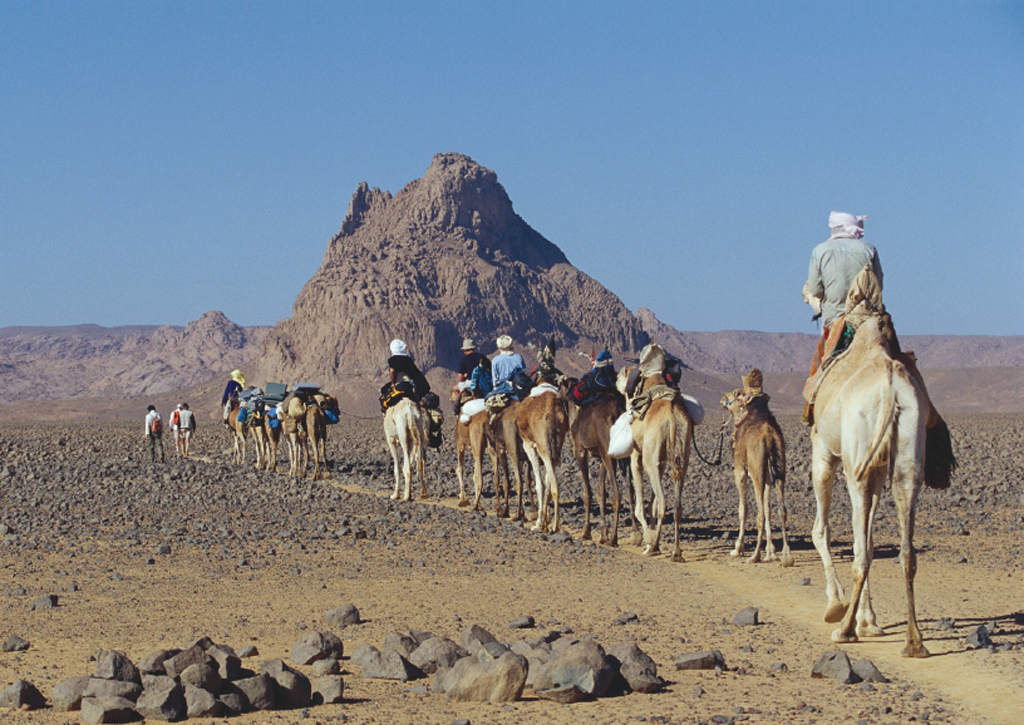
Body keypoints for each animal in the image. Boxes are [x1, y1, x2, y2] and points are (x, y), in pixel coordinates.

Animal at [569, 393, 622, 544]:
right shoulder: (600, 456)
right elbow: (601, 493)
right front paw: (603, 534)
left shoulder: (580, 450)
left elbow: (587, 493)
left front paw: (586, 532)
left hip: (608, 451)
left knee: (617, 493)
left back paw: (614, 539)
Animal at [618, 346, 692, 561]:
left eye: (623, 373)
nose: (616, 378)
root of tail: (672, 418)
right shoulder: (662, 461)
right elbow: (651, 502)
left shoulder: (637, 455)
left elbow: (641, 502)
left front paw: (647, 538)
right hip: (682, 456)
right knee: (676, 505)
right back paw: (676, 552)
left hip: (650, 460)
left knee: (663, 503)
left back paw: (653, 548)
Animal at [720, 378, 790, 565]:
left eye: (733, 395)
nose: (722, 398)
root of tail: (769, 435)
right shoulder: (767, 474)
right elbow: (768, 508)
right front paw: (771, 551)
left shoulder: (741, 469)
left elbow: (743, 509)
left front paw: (737, 548)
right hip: (779, 466)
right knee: (781, 509)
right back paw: (787, 556)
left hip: (756, 469)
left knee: (759, 514)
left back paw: (755, 555)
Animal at [806, 313, 942, 655]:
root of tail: (890, 387)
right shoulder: (878, 470)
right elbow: (866, 539)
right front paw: (868, 619)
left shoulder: (824, 450)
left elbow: (822, 531)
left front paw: (838, 606)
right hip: (907, 448)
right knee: (905, 549)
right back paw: (914, 641)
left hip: (856, 462)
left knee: (858, 550)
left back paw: (844, 630)